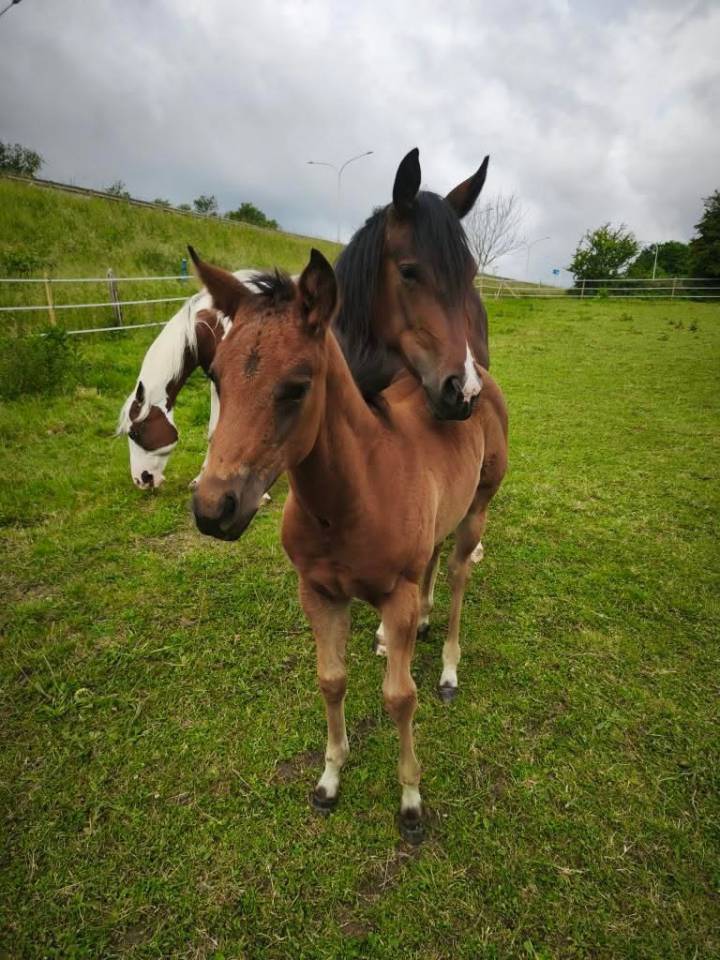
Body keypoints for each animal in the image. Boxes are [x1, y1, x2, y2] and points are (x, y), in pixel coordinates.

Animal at [116, 270, 258, 489]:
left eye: (135, 433)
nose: (140, 480)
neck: (217, 329)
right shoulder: (217, 383)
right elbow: (214, 430)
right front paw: (201, 478)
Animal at [190, 248, 508, 844]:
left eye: (297, 386)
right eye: (215, 376)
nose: (212, 509)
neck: (353, 497)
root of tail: (477, 380)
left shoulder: (395, 595)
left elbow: (399, 697)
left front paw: (411, 802)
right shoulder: (318, 592)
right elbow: (331, 680)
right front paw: (329, 778)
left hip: (477, 508)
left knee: (458, 574)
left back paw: (449, 669)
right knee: (435, 558)